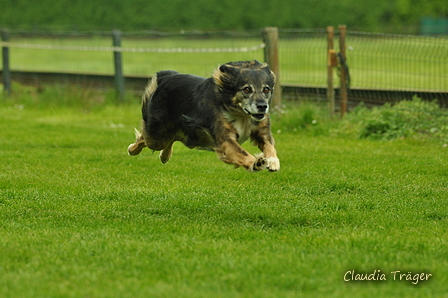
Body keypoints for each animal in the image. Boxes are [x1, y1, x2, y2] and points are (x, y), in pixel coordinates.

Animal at [127, 60, 280, 172]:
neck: (242, 114)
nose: (262, 106)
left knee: (173, 138)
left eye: (266, 89)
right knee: (145, 138)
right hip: (157, 135)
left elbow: (269, 145)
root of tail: (167, 76)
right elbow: (241, 152)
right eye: (247, 89)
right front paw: (256, 163)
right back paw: (132, 150)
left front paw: (273, 161)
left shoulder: (261, 131)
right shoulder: (225, 139)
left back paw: (165, 156)